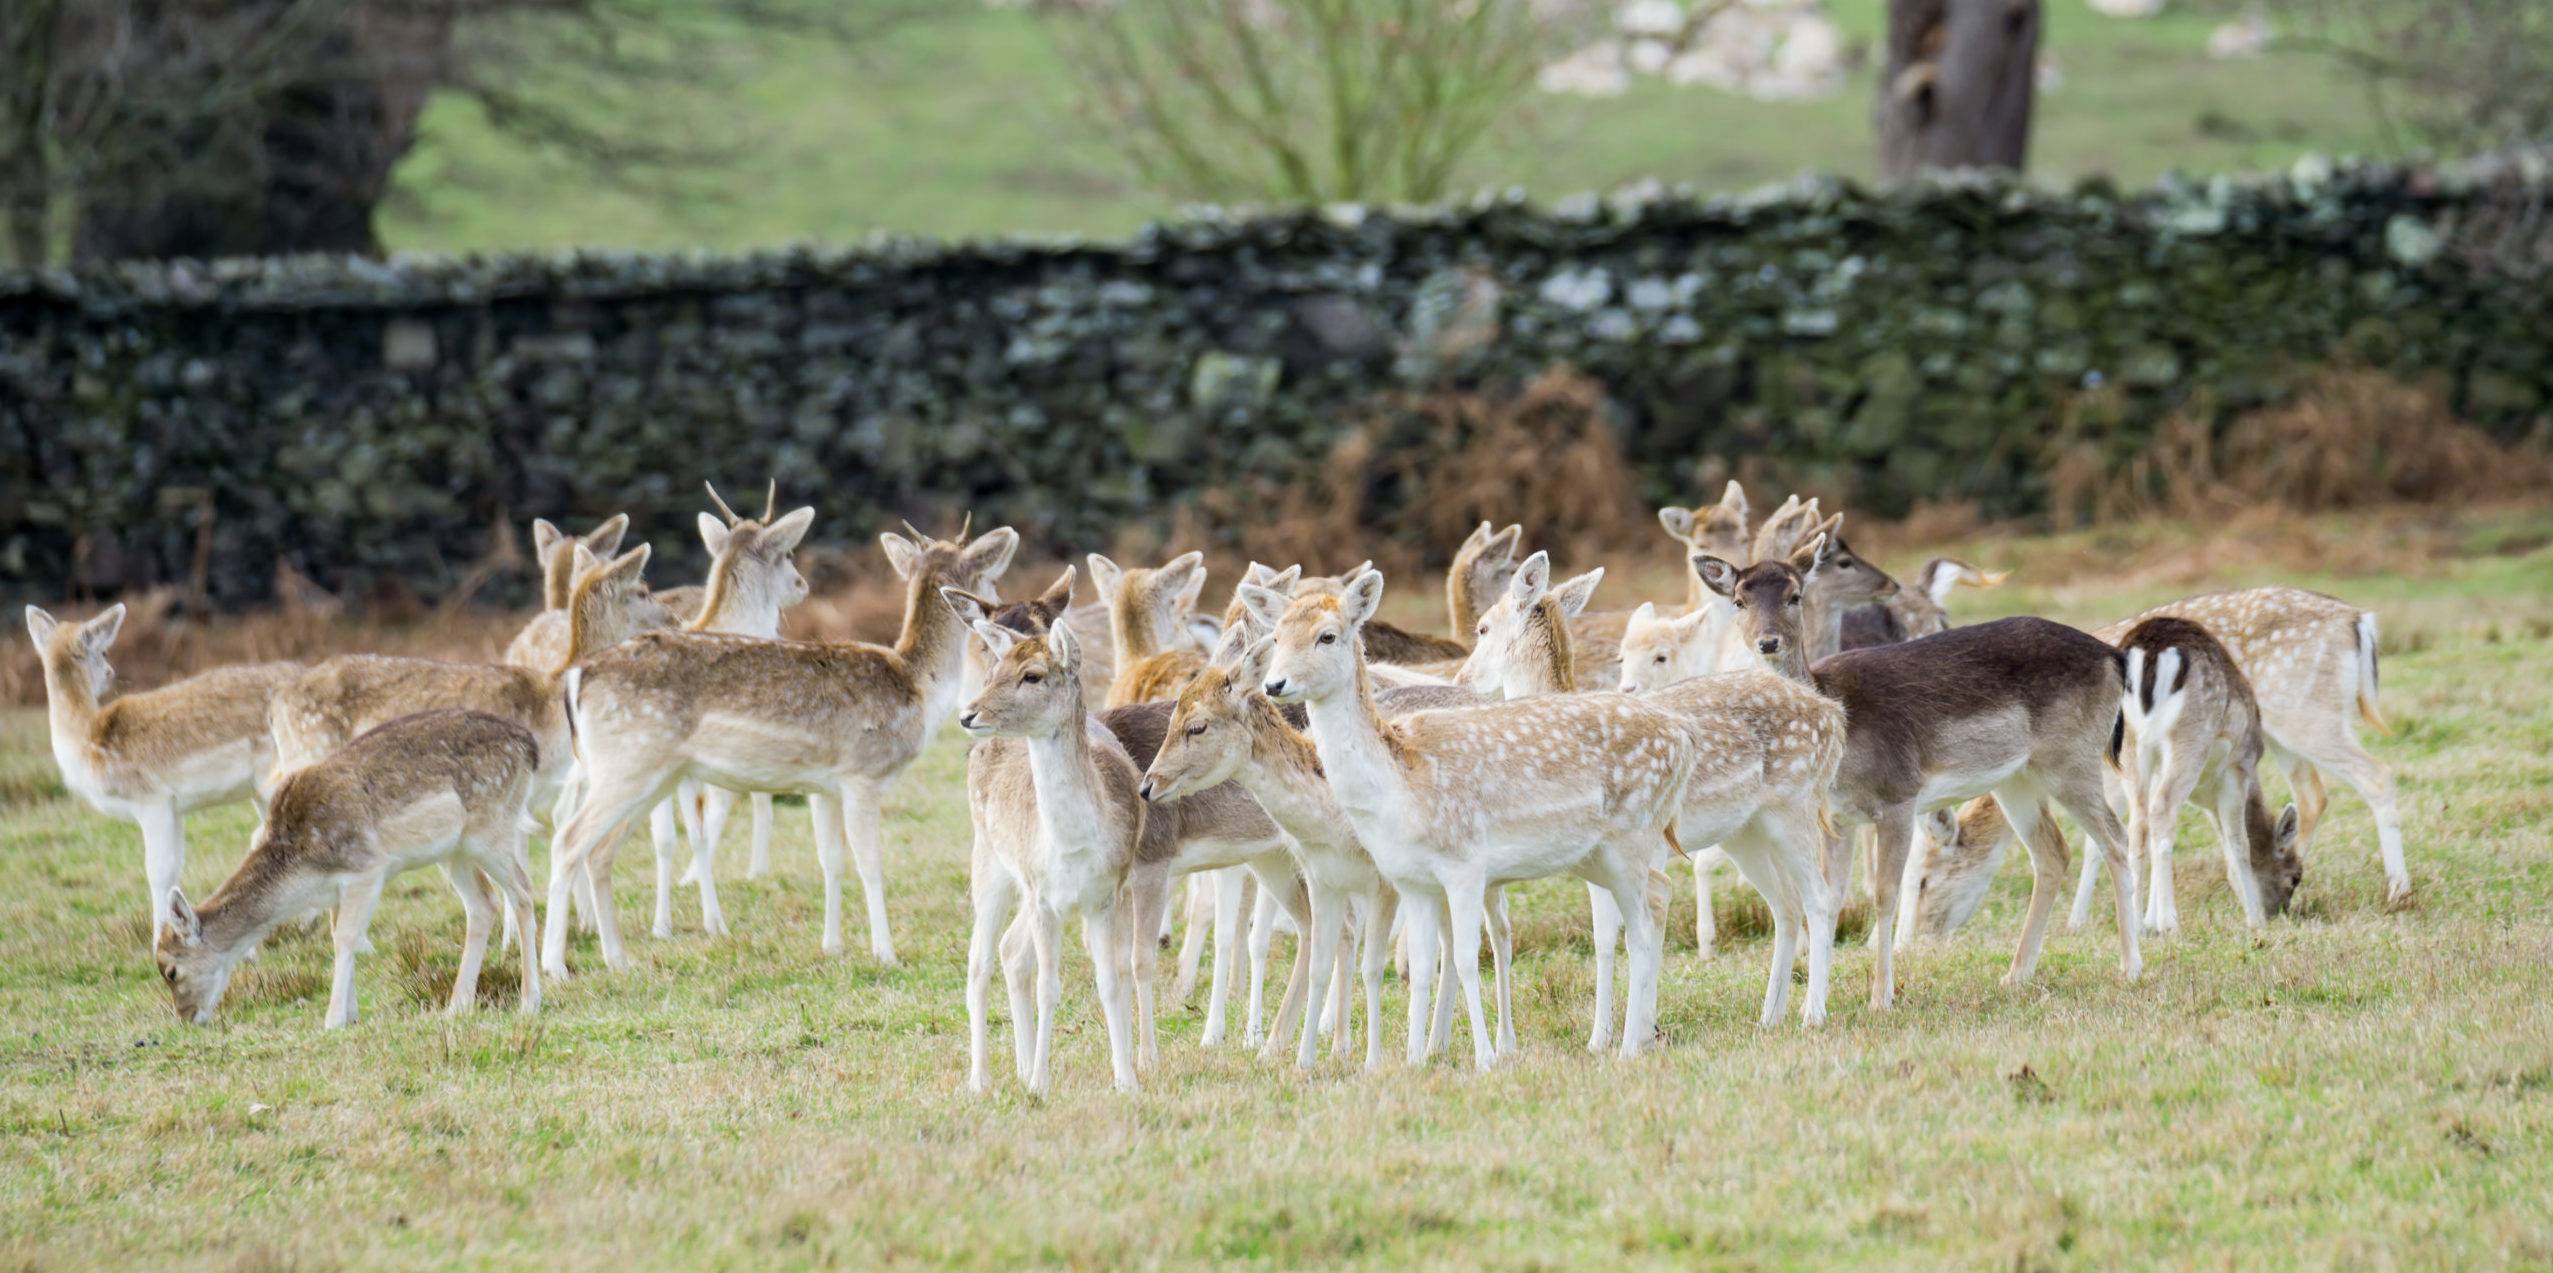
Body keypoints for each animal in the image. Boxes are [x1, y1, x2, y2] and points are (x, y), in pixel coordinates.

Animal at [25, 602, 298, 943]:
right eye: (104, 652)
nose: (111, 672)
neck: (85, 739)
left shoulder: (152, 799)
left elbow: (158, 870)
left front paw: (158, 940)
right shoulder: (174, 808)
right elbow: (175, 868)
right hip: (262, 788)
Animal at [154, 714, 543, 1030]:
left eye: (172, 971)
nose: (185, 1018)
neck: (304, 867)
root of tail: (529, 745)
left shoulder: (367, 866)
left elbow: (345, 938)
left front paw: (333, 1019)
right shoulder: (335, 890)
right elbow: (338, 935)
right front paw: (352, 1013)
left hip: (491, 826)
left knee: (523, 890)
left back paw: (529, 1002)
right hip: (454, 850)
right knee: (483, 902)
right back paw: (456, 1006)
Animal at [546, 522, 1016, 979]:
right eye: (988, 574)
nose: (997, 606)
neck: (918, 687)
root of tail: (576, 677)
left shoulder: (825, 787)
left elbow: (831, 860)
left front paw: (833, 946)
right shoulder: (861, 773)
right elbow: (870, 864)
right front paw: (885, 953)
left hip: (652, 774)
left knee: (600, 852)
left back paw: (618, 961)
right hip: (628, 763)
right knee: (569, 840)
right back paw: (556, 967)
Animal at [1705, 533, 2144, 1010]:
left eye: (1794, 595)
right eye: (1738, 601)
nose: (1768, 642)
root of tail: (2114, 655)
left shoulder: (1900, 793)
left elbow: (1885, 893)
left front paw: (1881, 997)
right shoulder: (1834, 818)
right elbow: (1831, 897)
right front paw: (1819, 1001)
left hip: (2073, 758)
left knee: (2115, 837)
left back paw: (2130, 966)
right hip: (2018, 778)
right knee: (2052, 852)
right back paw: (2015, 975)